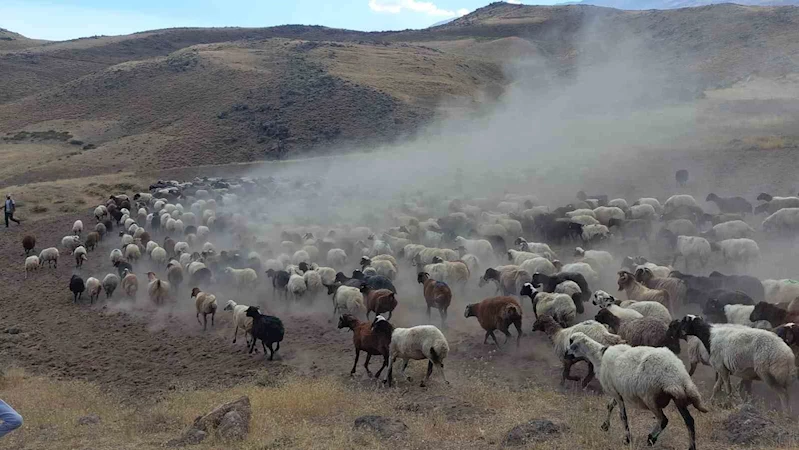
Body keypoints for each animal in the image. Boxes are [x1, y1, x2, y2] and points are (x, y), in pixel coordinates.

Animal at [564, 330, 708, 450]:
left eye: (571, 341)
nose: (566, 354)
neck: (599, 356)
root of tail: (677, 376)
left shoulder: (615, 392)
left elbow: (622, 416)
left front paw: (627, 439)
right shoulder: (618, 390)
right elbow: (609, 405)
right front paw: (605, 426)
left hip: (650, 397)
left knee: (663, 420)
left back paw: (651, 438)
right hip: (678, 398)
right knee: (689, 421)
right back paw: (691, 447)